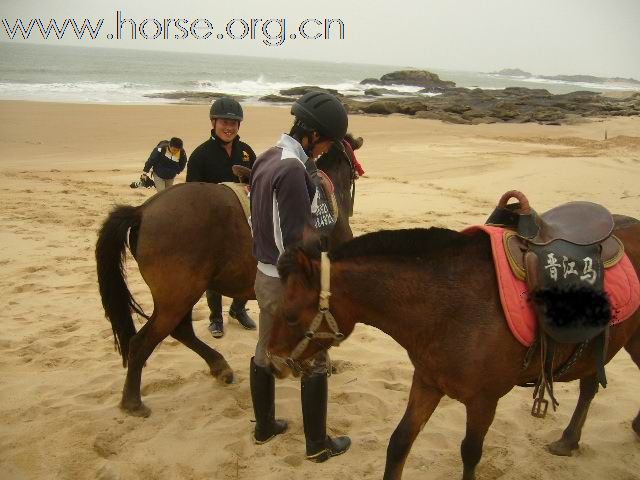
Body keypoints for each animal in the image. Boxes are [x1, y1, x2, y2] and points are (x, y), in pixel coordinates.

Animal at [97, 135, 362, 416]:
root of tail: (143, 210)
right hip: (177, 298)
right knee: (142, 342)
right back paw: (133, 401)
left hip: (181, 298)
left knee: (181, 331)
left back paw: (220, 367)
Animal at [268, 218, 640, 480]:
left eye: (290, 315)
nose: (272, 363)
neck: (449, 305)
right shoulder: (427, 383)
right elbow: (400, 442)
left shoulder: (483, 401)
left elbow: (470, 453)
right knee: (589, 387)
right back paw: (570, 439)